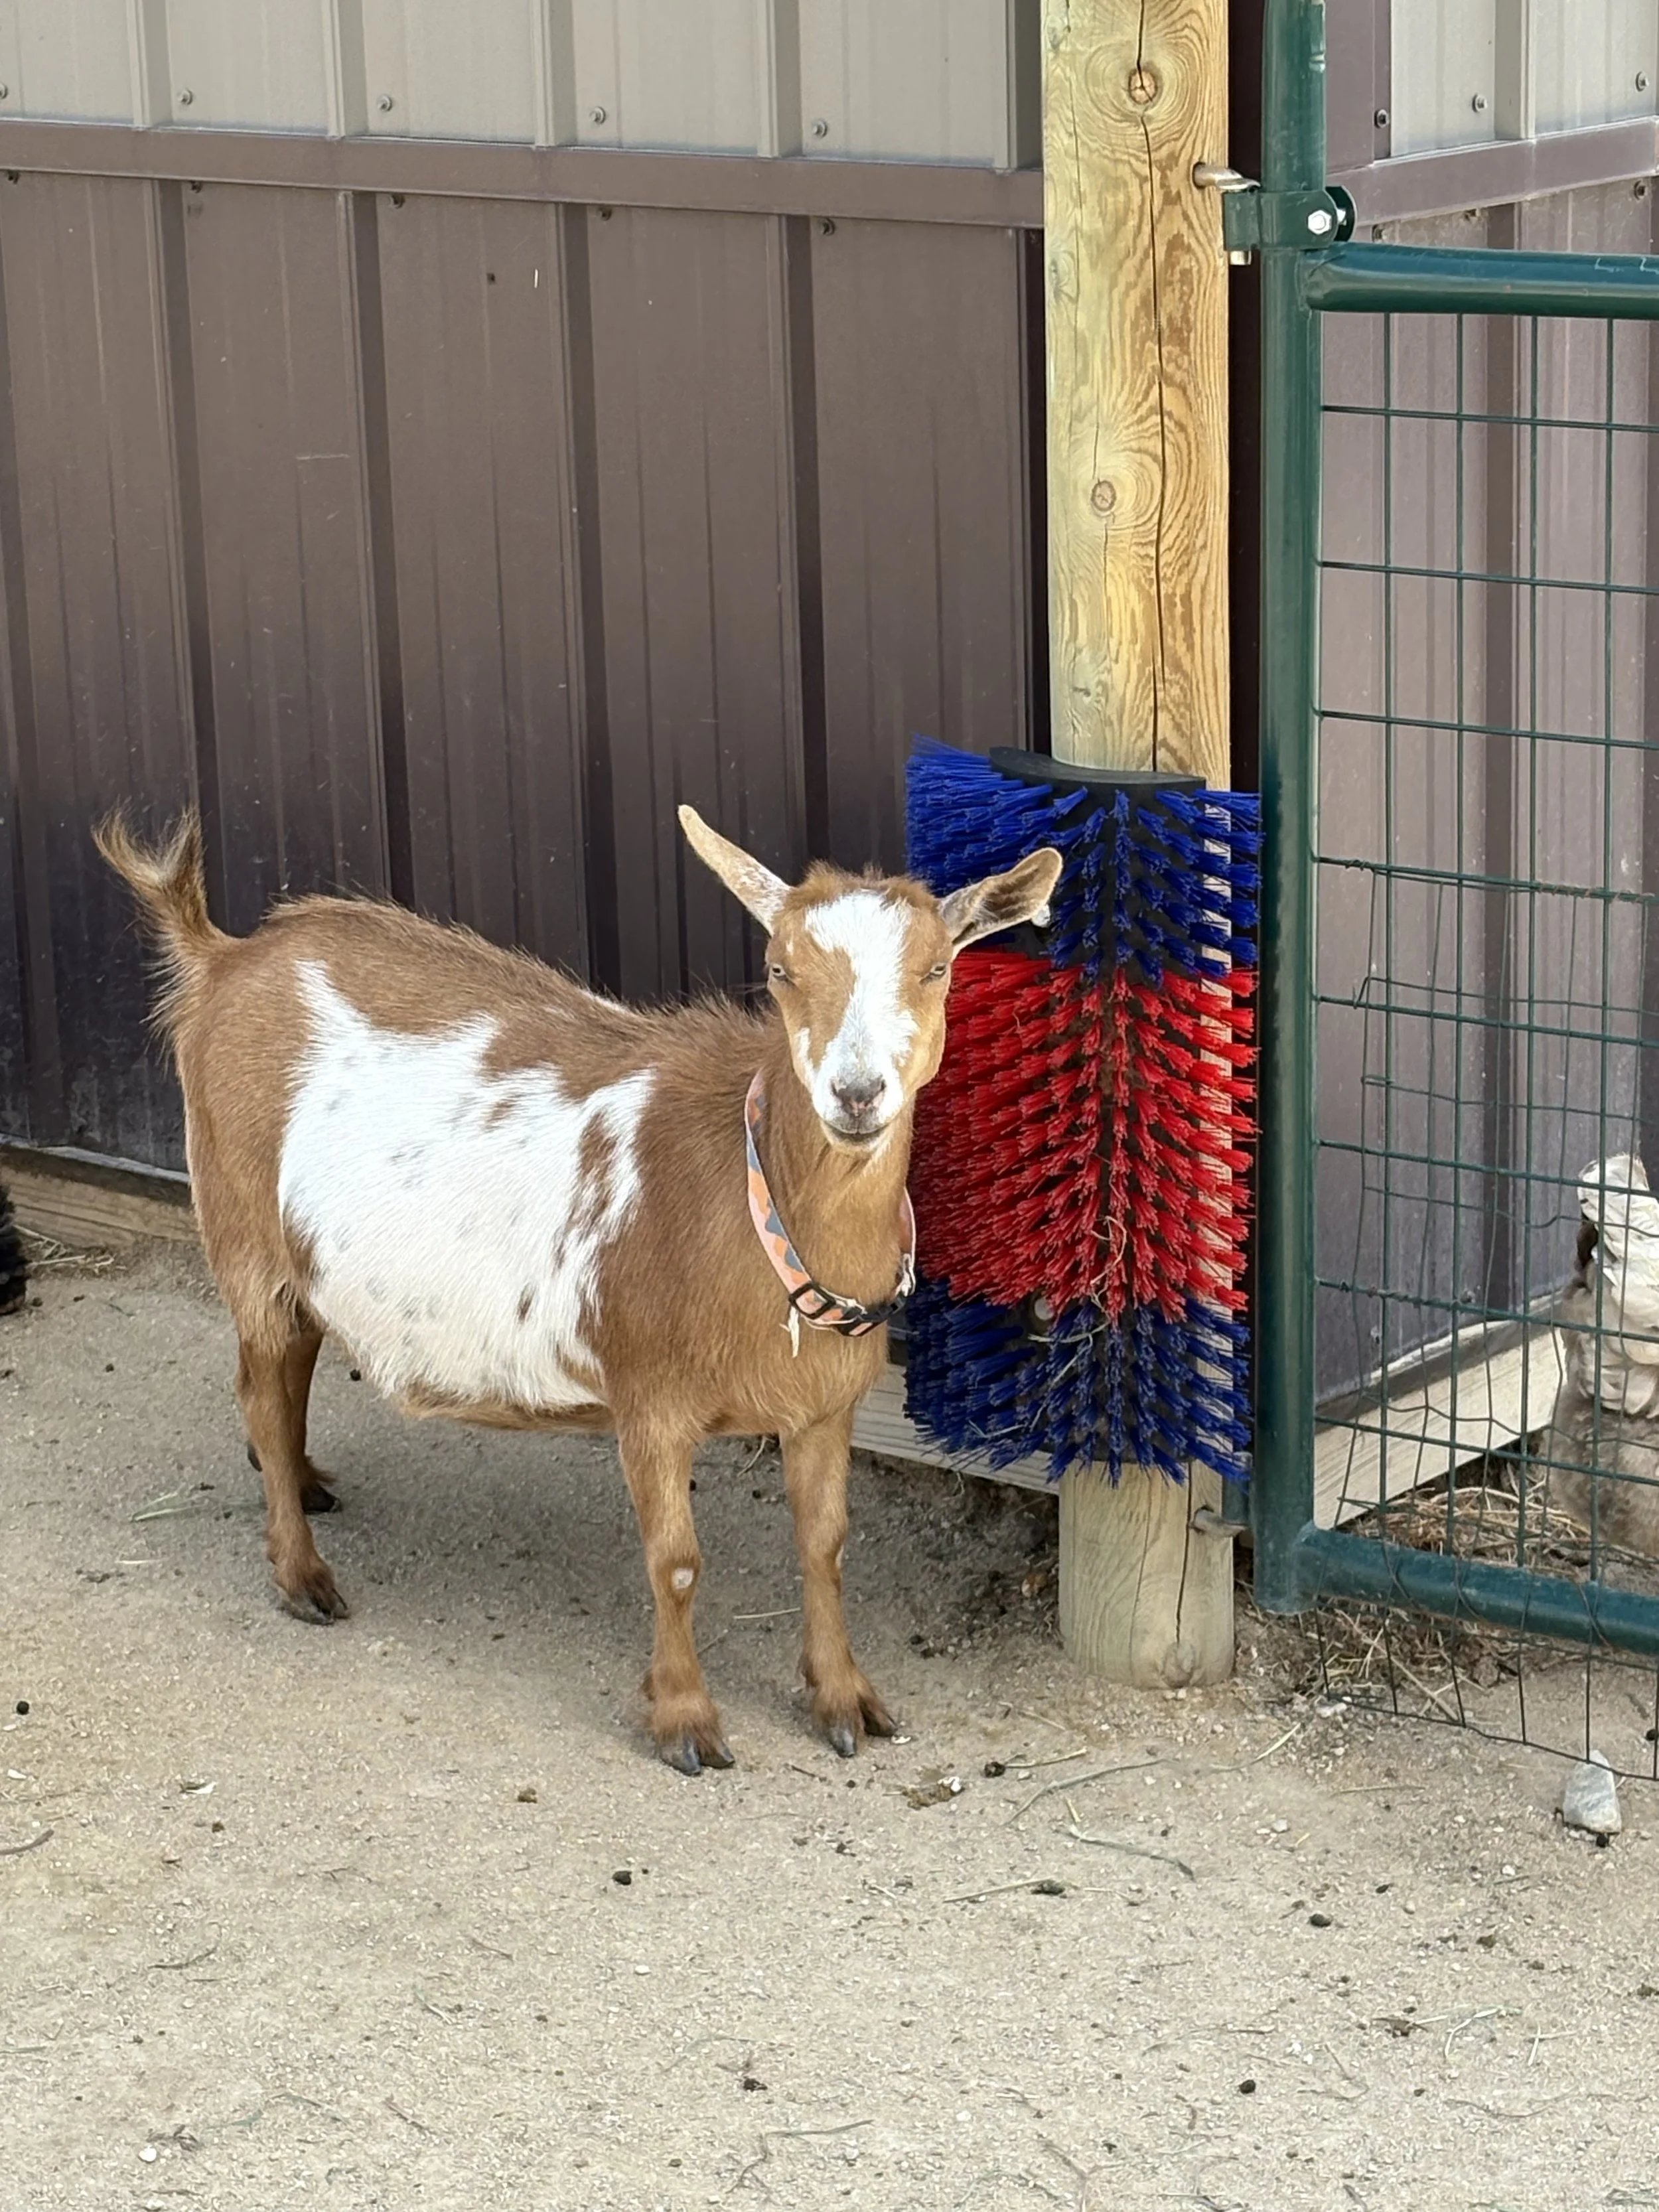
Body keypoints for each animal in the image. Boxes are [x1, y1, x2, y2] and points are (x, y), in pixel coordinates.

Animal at [98, 807, 1060, 1772]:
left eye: (937, 969)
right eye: (780, 970)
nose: (856, 1094)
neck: (750, 1197)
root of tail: (223, 957)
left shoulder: (824, 1408)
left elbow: (824, 1546)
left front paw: (844, 1698)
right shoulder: (651, 1403)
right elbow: (676, 1561)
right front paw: (684, 1721)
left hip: (299, 1260)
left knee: (292, 1367)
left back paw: (297, 1483)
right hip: (244, 1235)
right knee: (262, 1391)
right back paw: (302, 1576)